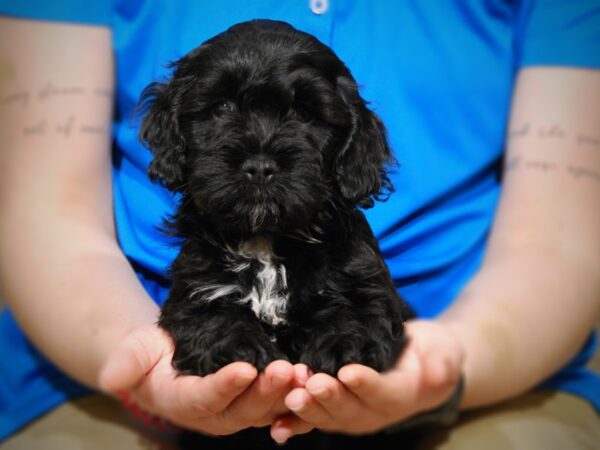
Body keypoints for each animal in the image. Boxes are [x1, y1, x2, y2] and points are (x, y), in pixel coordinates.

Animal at [141, 20, 412, 376]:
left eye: (304, 115)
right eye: (222, 108)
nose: (259, 167)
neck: (266, 238)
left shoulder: (365, 279)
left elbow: (362, 308)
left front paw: (343, 343)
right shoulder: (195, 286)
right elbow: (209, 315)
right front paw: (239, 345)